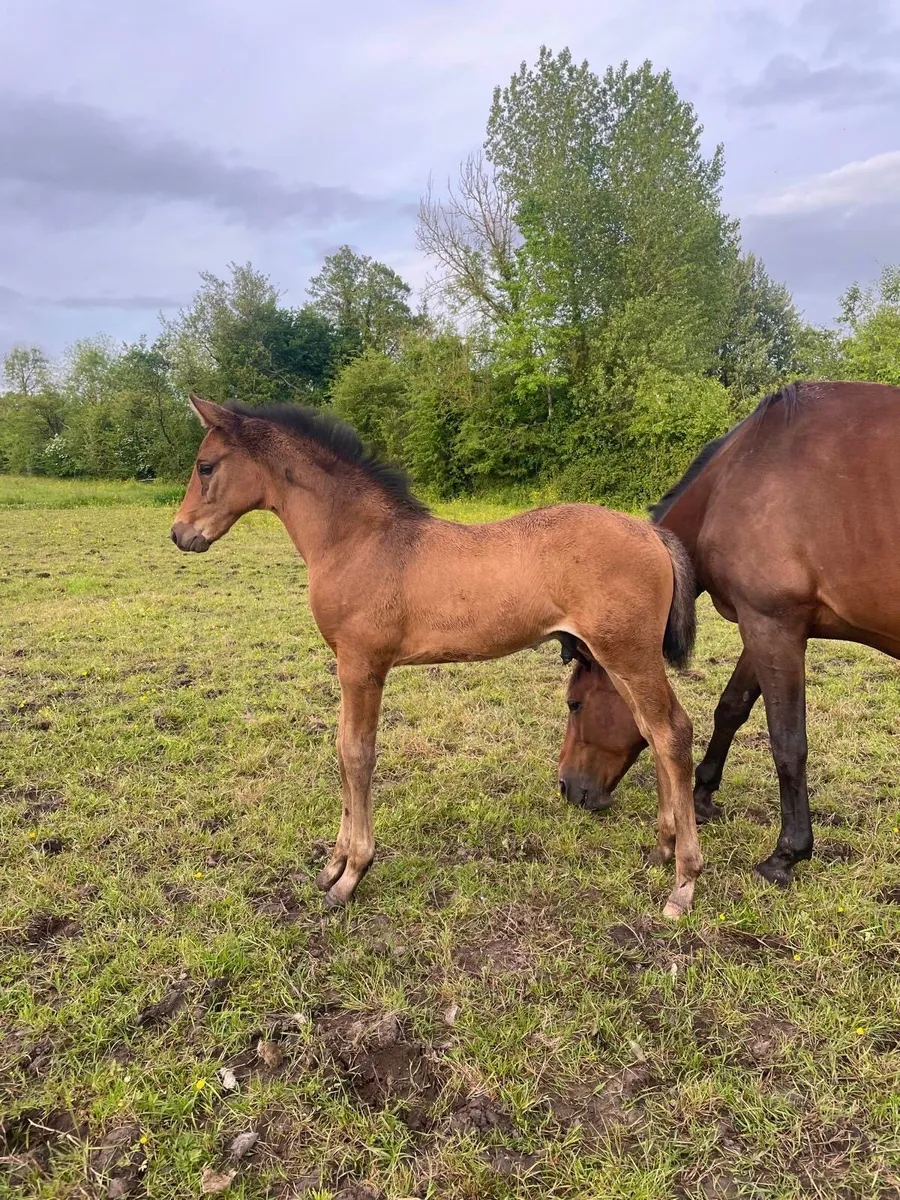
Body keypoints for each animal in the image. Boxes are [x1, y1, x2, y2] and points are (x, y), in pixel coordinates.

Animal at [171, 395, 701, 917]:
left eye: (204, 466)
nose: (180, 534)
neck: (359, 540)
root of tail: (651, 534)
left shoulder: (363, 666)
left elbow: (357, 754)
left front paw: (351, 875)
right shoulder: (348, 667)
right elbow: (342, 752)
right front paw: (332, 866)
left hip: (628, 654)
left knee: (672, 731)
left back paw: (684, 882)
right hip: (623, 659)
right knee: (651, 730)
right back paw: (663, 848)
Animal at [557, 379, 900, 888]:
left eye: (575, 704)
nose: (565, 786)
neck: (740, 475)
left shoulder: (772, 625)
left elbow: (787, 741)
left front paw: (787, 854)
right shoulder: (763, 625)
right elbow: (731, 709)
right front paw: (702, 796)